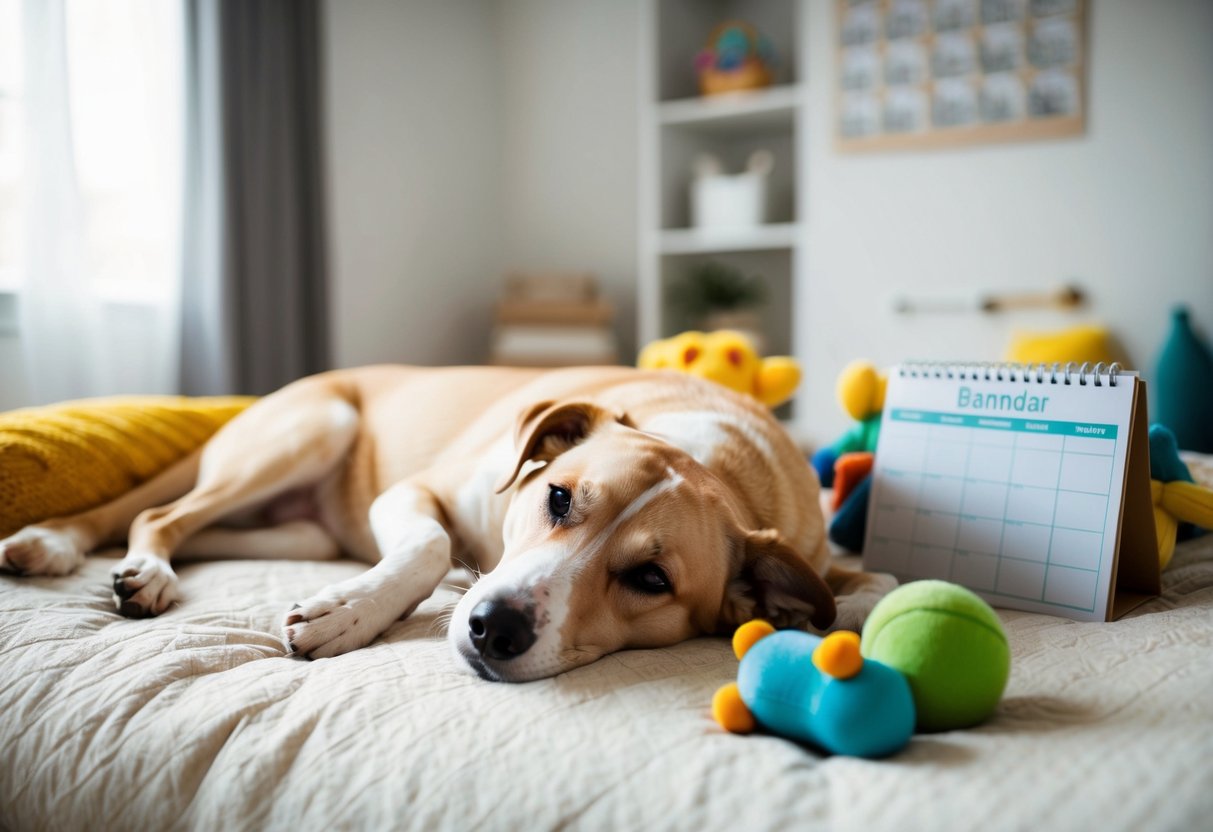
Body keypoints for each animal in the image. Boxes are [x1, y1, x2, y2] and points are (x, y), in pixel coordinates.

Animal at [0, 368, 892, 679]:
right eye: (558, 498)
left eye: (650, 579)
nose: (494, 627)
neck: (714, 455)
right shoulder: (420, 493)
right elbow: (429, 547)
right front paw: (346, 612)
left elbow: (872, 578)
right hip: (311, 427)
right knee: (157, 511)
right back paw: (128, 565)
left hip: (298, 532)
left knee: (184, 526)